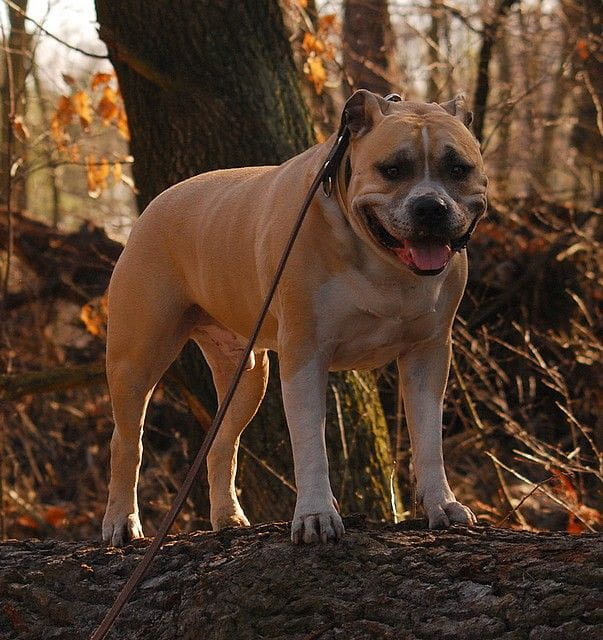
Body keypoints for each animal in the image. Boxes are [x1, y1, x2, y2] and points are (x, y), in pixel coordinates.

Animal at [102, 90, 486, 548]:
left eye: (459, 169)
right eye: (392, 169)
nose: (430, 206)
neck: (382, 260)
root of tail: (156, 203)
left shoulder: (429, 354)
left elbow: (429, 439)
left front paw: (442, 504)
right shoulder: (305, 355)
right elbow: (310, 446)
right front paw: (316, 515)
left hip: (246, 377)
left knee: (222, 444)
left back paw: (227, 517)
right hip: (137, 360)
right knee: (127, 444)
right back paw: (121, 520)